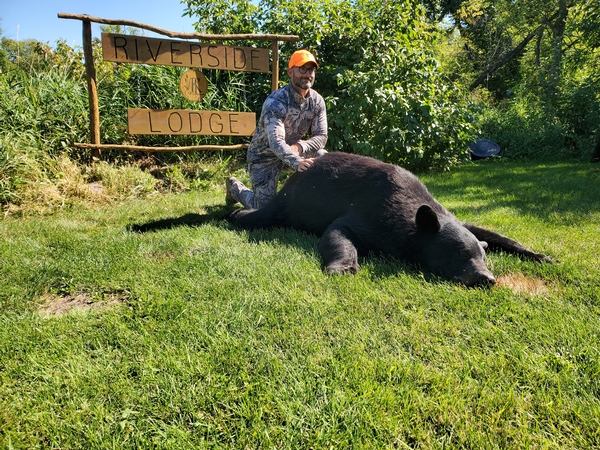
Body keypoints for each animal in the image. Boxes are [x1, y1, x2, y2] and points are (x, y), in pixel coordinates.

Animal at [224, 151, 548, 284]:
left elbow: (493, 232)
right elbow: (337, 233)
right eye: (458, 253)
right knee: (255, 216)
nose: (487, 278)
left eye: (484, 255)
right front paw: (343, 267)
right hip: (288, 204)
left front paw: (539, 254)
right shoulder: (369, 213)